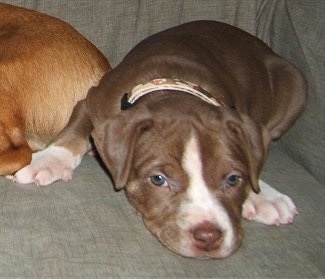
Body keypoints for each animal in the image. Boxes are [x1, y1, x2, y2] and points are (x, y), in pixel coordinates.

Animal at [13, 20, 306, 260]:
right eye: (159, 179)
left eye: (234, 179)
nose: (209, 236)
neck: (174, 87)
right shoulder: (92, 100)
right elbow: (76, 129)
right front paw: (47, 161)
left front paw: (262, 195)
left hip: (295, 83)